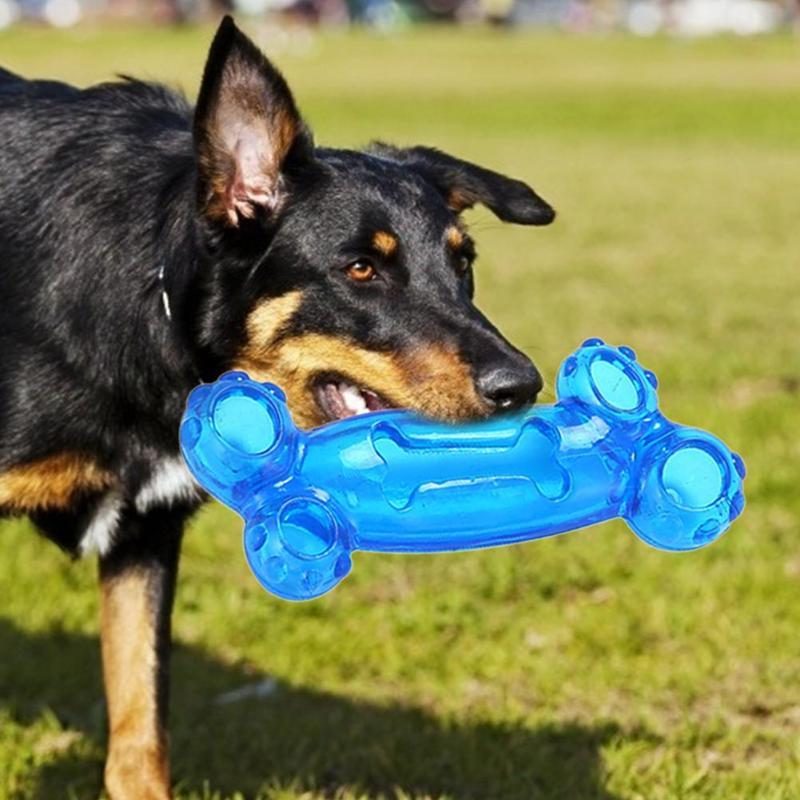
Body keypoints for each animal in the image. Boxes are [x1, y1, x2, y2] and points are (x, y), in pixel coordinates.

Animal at [0, 15, 552, 796]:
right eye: (362, 269)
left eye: (464, 263)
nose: (522, 385)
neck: (155, 308)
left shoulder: (146, 534)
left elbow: (141, 729)